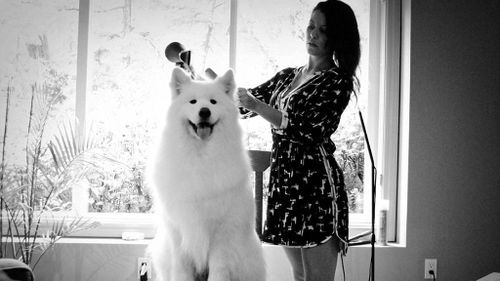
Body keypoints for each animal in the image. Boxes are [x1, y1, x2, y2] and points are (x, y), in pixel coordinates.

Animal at [148, 68, 266, 280]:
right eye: (193, 101)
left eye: (213, 102)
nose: (204, 111)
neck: (200, 155)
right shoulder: (178, 228)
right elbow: (181, 268)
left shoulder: (222, 231)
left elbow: (219, 267)